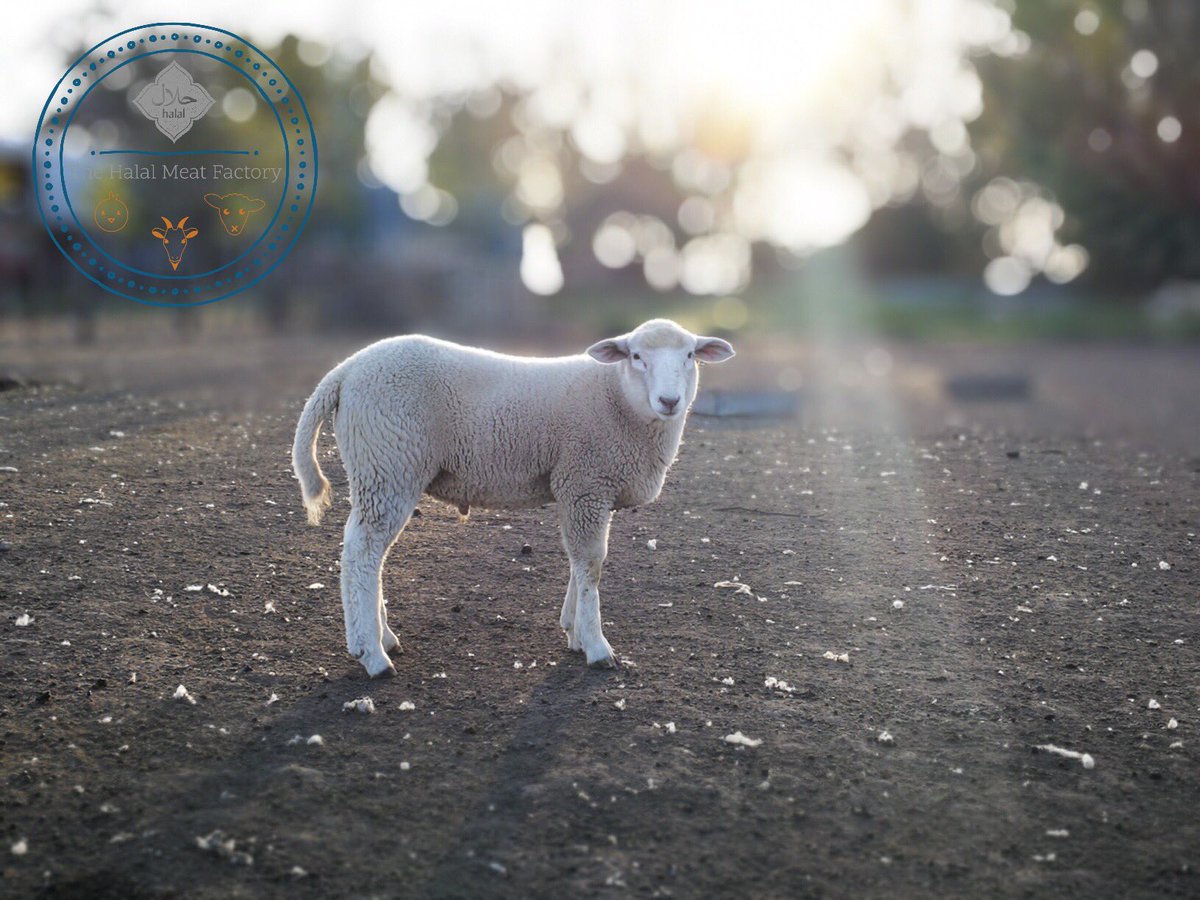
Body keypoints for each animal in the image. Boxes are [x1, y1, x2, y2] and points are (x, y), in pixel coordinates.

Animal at [292, 318, 735, 678]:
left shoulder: (579, 489)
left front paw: (573, 630)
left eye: (690, 355)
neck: (619, 398)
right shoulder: (586, 481)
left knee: (371, 556)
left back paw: (384, 639)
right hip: (387, 463)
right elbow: (591, 564)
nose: (670, 401)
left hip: (383, 468)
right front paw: (596, 646)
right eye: (637, 356)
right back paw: (371, 654)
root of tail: (346, 370)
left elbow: (579, 562)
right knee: (361, 555)